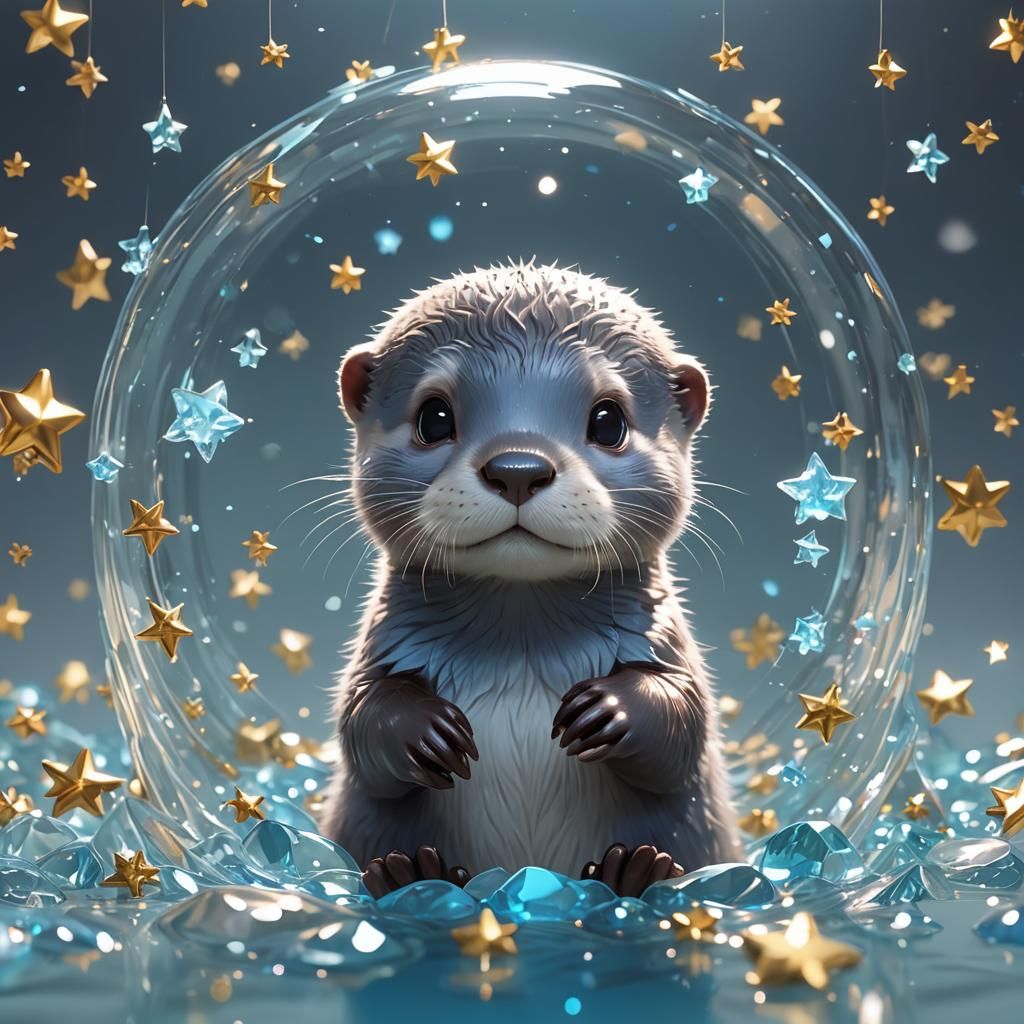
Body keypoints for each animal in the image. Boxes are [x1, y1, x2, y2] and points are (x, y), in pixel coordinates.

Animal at [320, 261, 739, 898]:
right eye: (433, 417)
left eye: (609, 420)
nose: (518, 468)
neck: (519, 649)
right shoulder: (381, 646)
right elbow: (360, 720)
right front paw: (424, 731)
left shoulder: (668, 642)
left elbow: (684, 724)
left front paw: (609, 710)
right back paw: (408, 872)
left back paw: (633, 871)